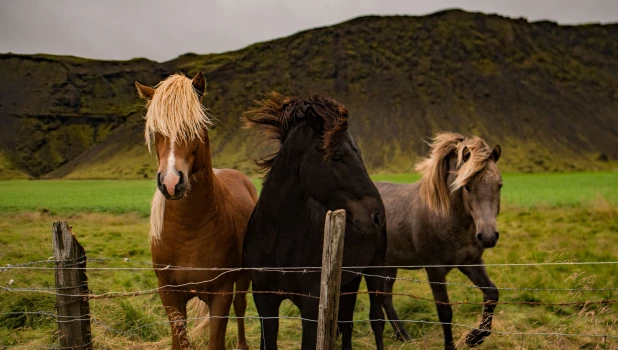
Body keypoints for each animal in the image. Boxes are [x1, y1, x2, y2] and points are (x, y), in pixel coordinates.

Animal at [135, 72, 258, 348]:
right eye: (156, 131)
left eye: (195, 127)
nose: (171, 183)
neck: (189, 232)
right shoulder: (169, 294)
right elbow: (179, 340)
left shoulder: (221, 293)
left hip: (244, 278)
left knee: (241, 306)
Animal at [241, 91, 384, 348]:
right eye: (337, 156)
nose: (377, 215)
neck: (278, 237)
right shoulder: (264, 299)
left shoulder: (310, 305)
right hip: (349, 281)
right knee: (346, 324)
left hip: (374, 273)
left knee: (375, 321)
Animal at [376, 133, 500, 348]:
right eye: (467, 186)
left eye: (499, 185)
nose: (488, 236)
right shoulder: (434, 270)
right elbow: (445, 311)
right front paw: (451, 345)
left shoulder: (471, 262)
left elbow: (492, 294)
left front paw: (474, 337)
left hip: (389, 265)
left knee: (385, 297)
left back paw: (404, 336)